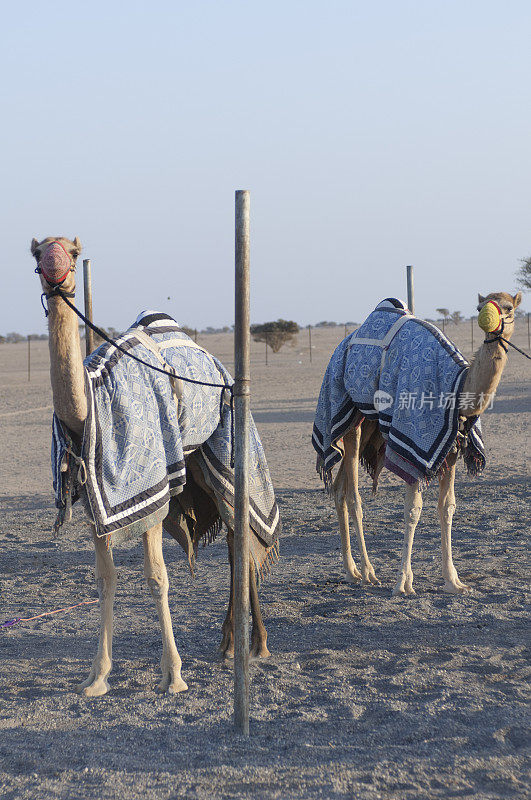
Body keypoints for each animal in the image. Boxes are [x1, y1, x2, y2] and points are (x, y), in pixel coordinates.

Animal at [32, 236, 280, 692]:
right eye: (38, 252)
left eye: (72, 253)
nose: (55, 272)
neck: (90, 414)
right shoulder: (98, 500)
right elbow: (105, 579)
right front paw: (97, 676)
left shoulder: (150, 492)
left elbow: (156, 577)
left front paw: (174, 675)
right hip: (195, 465)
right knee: (236, 542)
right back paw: (229, 643)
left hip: (225, 455)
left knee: (240, 537)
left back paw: (255, 645)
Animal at [314, 292, 520, 592]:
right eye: (480, 306)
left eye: (508, 307)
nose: (488, 321)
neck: (456, 386)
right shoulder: (414, 444)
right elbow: (413, 510)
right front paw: (403, 582)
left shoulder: (452, 449)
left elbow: (447, 508)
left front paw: (453, 581)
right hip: (352, 418)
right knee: (353, 496)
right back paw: (368, 571)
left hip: (370, 426)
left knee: (339, 489)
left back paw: (350, 570)